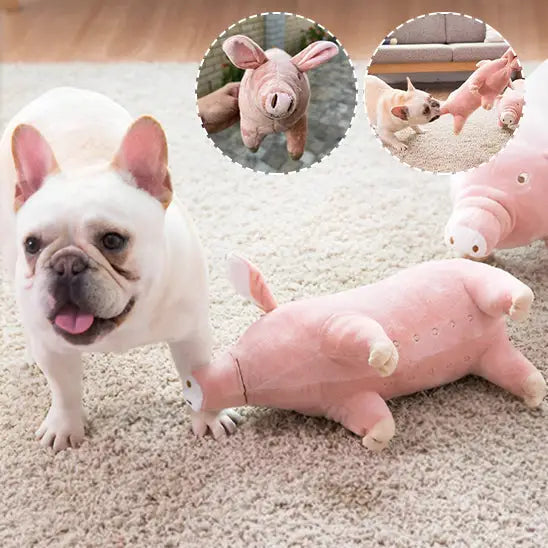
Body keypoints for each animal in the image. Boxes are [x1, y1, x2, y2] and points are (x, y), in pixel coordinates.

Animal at [0, 88, 240, 452]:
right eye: (31, 245)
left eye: (112, 240)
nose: (66, 265)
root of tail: (58, 92)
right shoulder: (54, 351)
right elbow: (64, 389)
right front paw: (65, 426)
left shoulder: (191, 334)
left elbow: (197, 376)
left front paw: (209, 418)